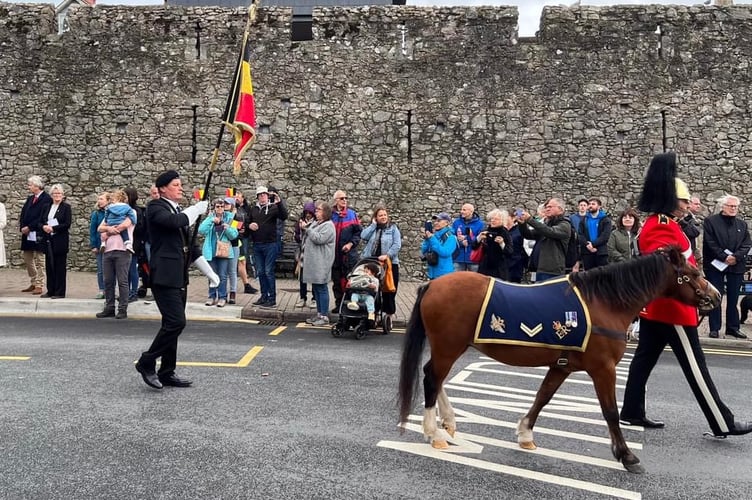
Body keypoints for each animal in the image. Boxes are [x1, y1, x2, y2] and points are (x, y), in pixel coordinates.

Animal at [400, 248, 724, 474]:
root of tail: (433, 285)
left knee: (436, 377)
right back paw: (433, 432)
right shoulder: (603, 369)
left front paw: (525, 433)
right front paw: (627, 456)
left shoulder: (561, 366)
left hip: (451, 346)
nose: (716, 295)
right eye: (693, 273)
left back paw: (448, 422)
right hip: (448, 346)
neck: (603, 303)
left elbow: (543, 397)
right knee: (432, 377)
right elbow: (610, 412)